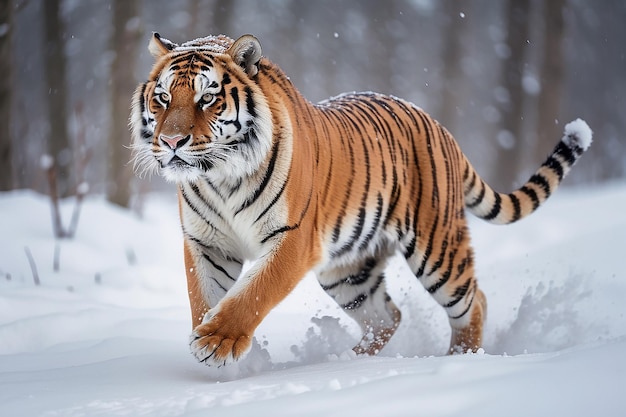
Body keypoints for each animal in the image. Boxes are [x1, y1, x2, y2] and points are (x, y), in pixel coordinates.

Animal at [129, 33, 588, 364]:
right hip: (349, 273)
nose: (171, 141)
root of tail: (439, 126)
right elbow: (204, 296)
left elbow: (253, 293)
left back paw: (461, 358)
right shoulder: (206, 243)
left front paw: (216, 342)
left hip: (438, 251)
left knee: (473, 302)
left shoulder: (294, 238)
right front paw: (211, 347)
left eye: (207, 97)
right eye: (163, 97)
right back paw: (346, 360)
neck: (220, 177)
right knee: (388, 315)